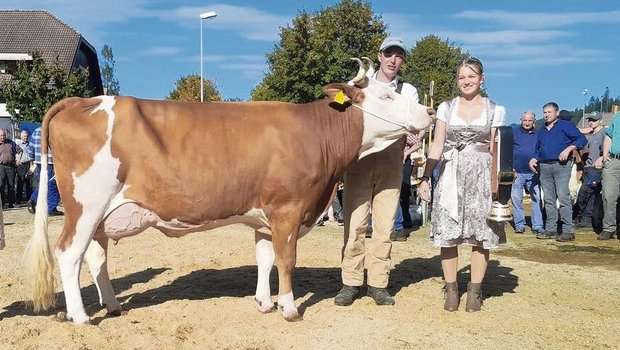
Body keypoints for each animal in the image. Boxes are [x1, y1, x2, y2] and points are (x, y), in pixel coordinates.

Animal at [25, 57, 436, 322]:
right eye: (386, 97)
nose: (430, 112)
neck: (316, 134)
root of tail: (85, 100)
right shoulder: (288, 210)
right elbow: (286, 260)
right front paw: (289, 308)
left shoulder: (264, 217)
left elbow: (265, 259)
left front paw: (265, 302)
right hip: (85, 206)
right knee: (69, 254)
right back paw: (80, 316)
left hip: (102, 214)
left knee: (96, 257)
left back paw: (112, 306)